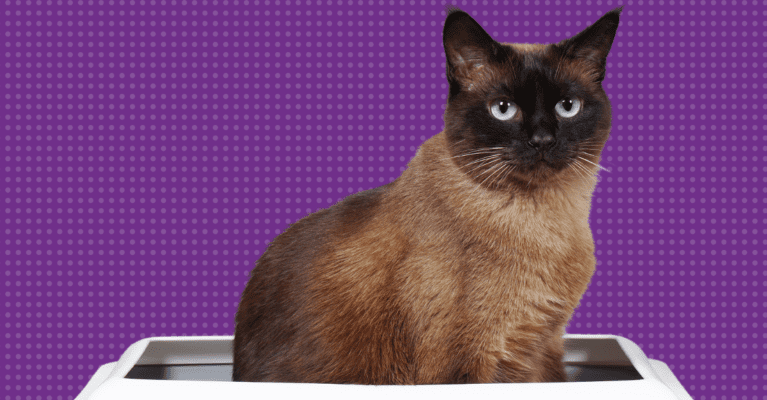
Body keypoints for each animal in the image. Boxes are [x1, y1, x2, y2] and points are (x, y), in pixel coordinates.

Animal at [231, 4, 620, 382]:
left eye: (567, 106)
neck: (545, 222)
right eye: (503, 109)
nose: (542, 140)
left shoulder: (544, 347)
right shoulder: (468, 362)